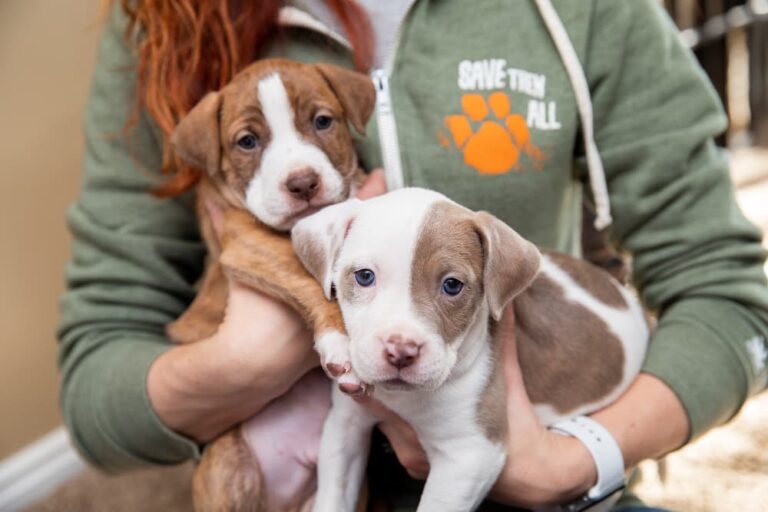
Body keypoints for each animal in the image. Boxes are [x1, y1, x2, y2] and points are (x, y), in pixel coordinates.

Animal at [171, 60, 378, 512]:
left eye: (322, 121)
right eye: (247, 142)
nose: (302, 183)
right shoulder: (250, 244)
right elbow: (310, 278)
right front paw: (340, 339)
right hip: (229, 467)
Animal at [292, 189, 648, 512]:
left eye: (452, 285)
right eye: (364, 276)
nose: (401, 351)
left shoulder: (471, 455)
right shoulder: (345, 425)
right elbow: (333, 496)